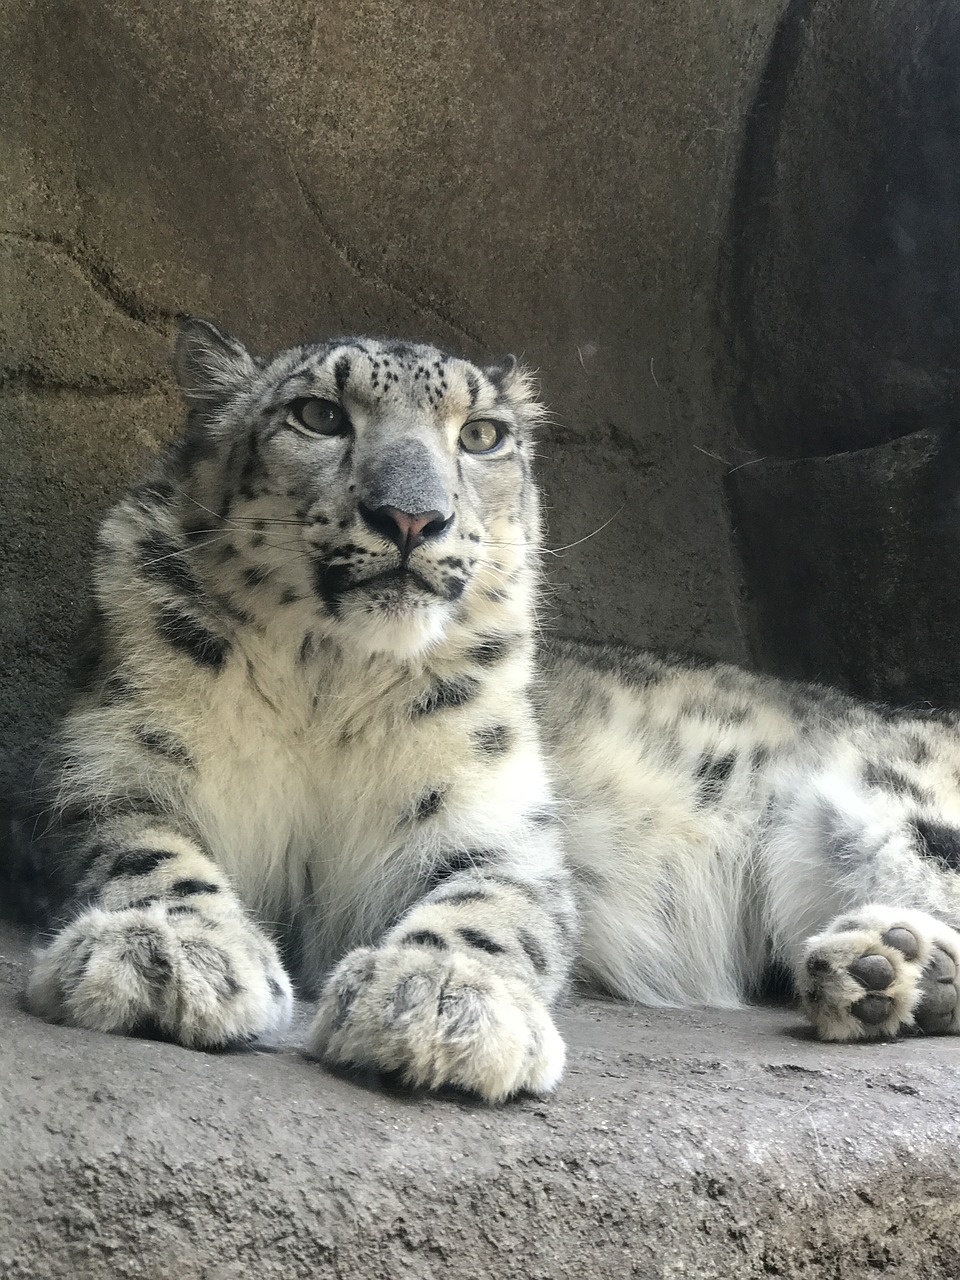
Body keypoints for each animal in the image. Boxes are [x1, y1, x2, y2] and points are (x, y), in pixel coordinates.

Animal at [20, 317, 960, 1100]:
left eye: (482, 435)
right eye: (318, 415)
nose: (411, 517)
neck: (326, 680)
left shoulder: (493, 813)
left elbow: (487, 903)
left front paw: (442, 1000)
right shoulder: (118, 762)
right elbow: (148, 851)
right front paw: (166, 953)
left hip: (890, 806)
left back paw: (882, 965)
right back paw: (886, 973)